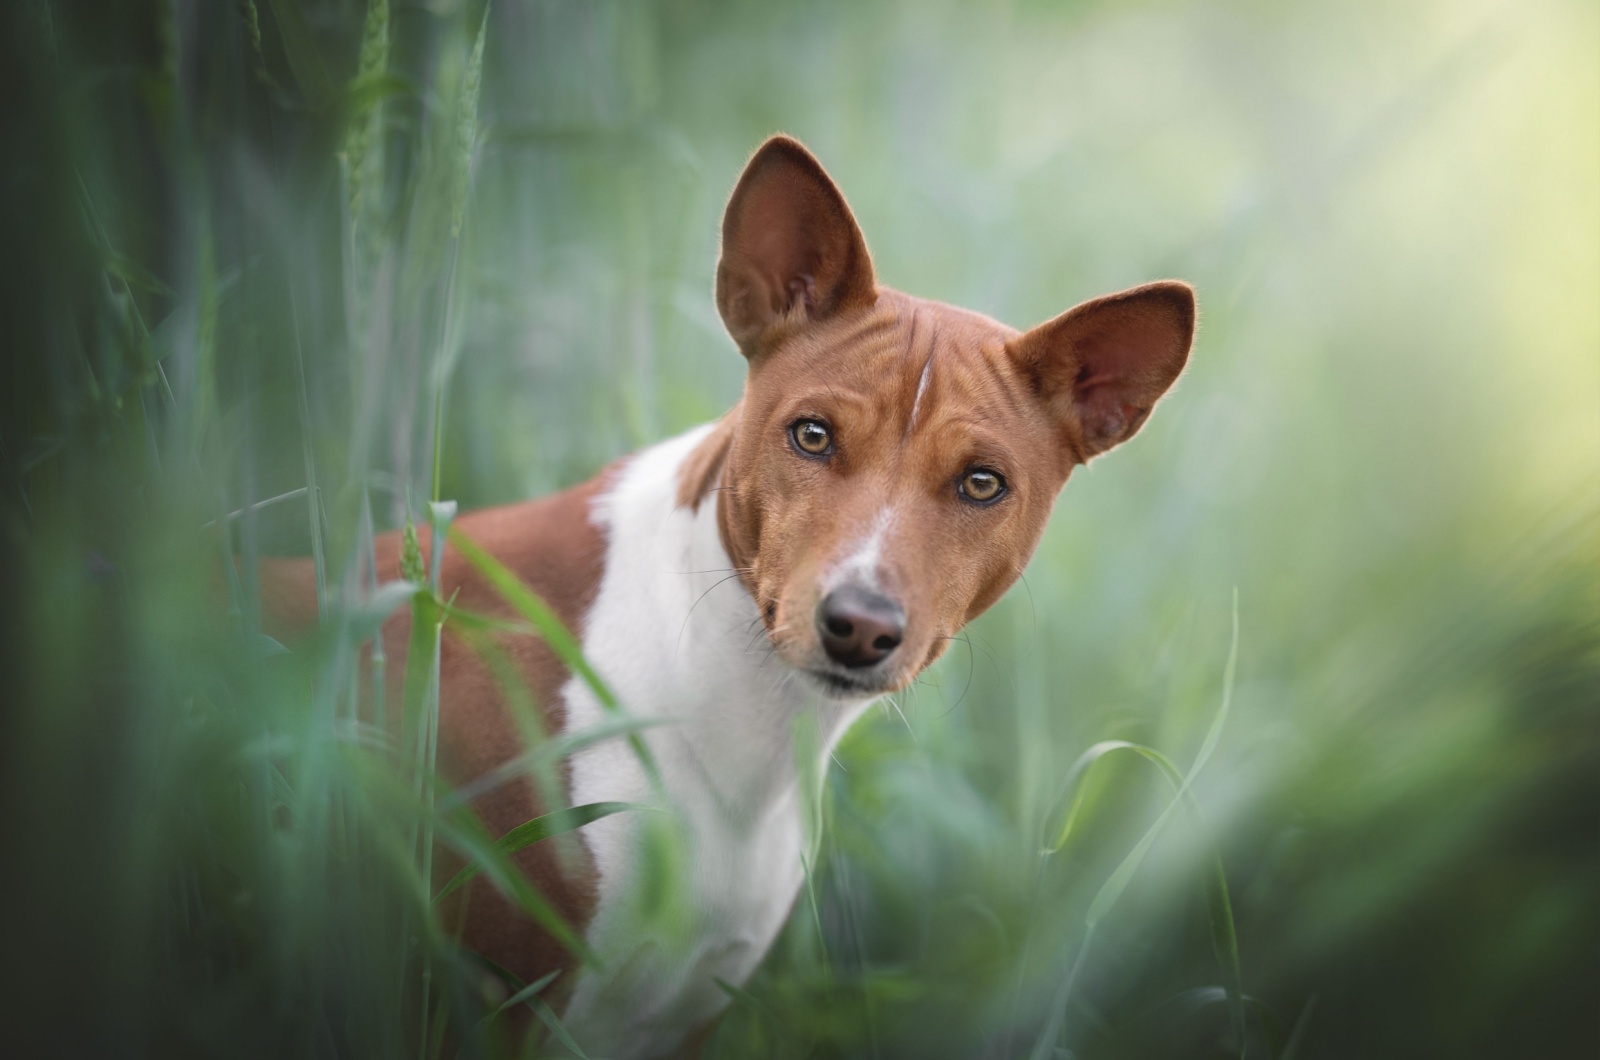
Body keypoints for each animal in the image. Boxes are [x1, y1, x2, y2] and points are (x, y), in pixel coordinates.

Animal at [262, 136, 1196, 1056]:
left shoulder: (682, 1014)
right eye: (812, 435)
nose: (858, 627)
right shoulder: (492, 1003)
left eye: (981, 484)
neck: (744, 737)